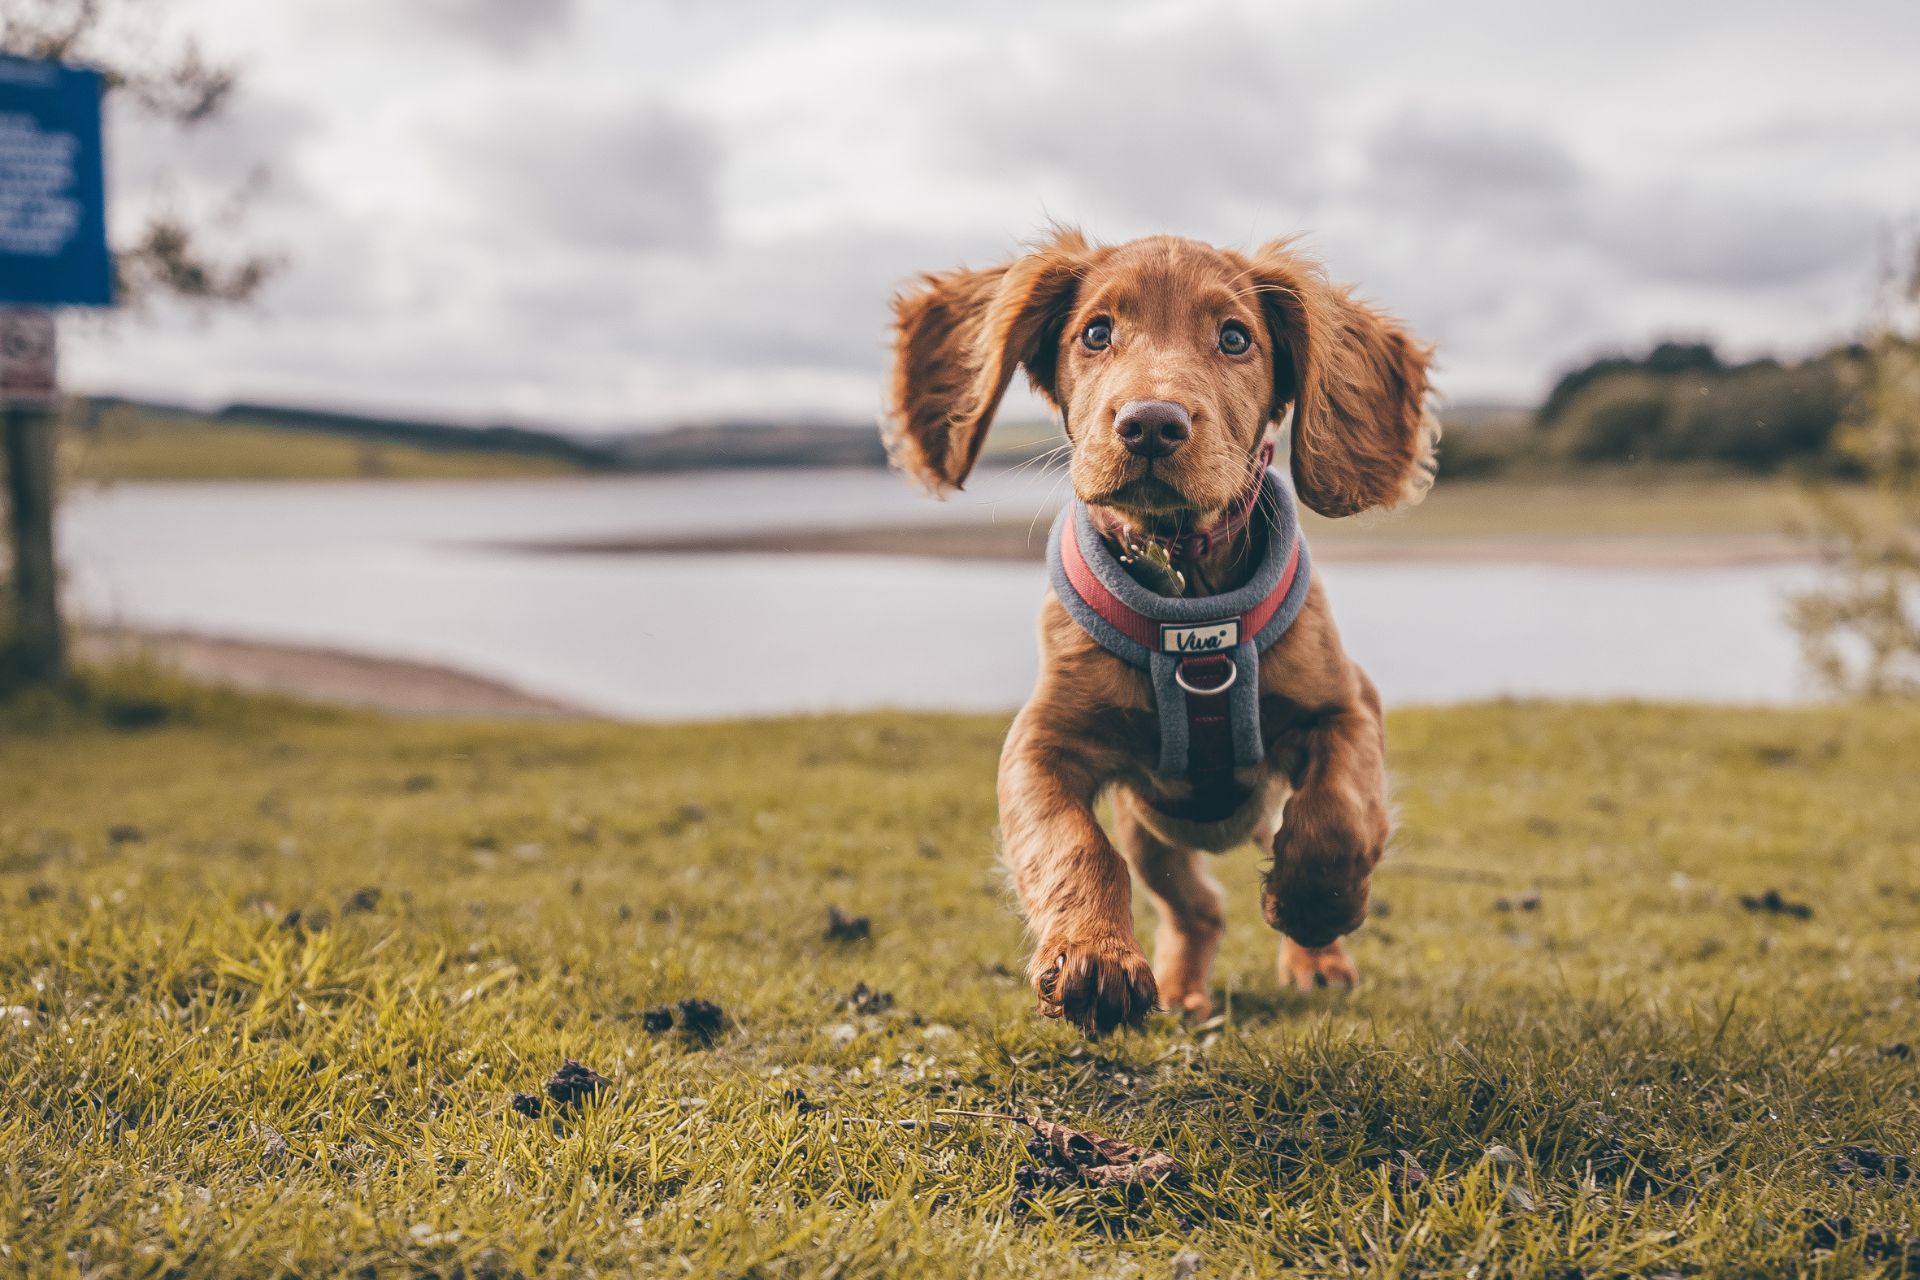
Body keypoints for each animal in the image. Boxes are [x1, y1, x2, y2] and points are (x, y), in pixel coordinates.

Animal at [879, 227, 1436, 1028]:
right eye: (1096, 333)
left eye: (1234, 337)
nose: (1149, 425)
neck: (1185, 587)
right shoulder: (1041, 744)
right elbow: (1073, 844)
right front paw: (1094, 957)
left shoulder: (1349, 704)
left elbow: (1339, 813)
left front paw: (1312, 908)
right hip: (1153, 833)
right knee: (1197, 906)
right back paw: (1182, 990)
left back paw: (1317, 962)